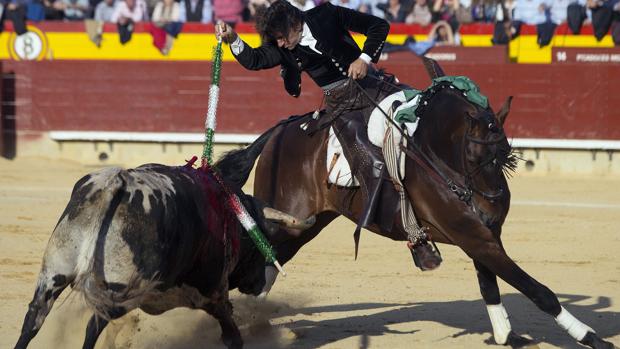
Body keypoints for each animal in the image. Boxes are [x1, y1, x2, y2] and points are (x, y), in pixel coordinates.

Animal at [15, 160, 312, 348]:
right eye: (260, 241)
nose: (260, 283)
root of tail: (115, 182)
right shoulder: (214, 293)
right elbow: (232, 336)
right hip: (121, 291)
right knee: (93, 325)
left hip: (53, 273)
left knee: (33, 318)